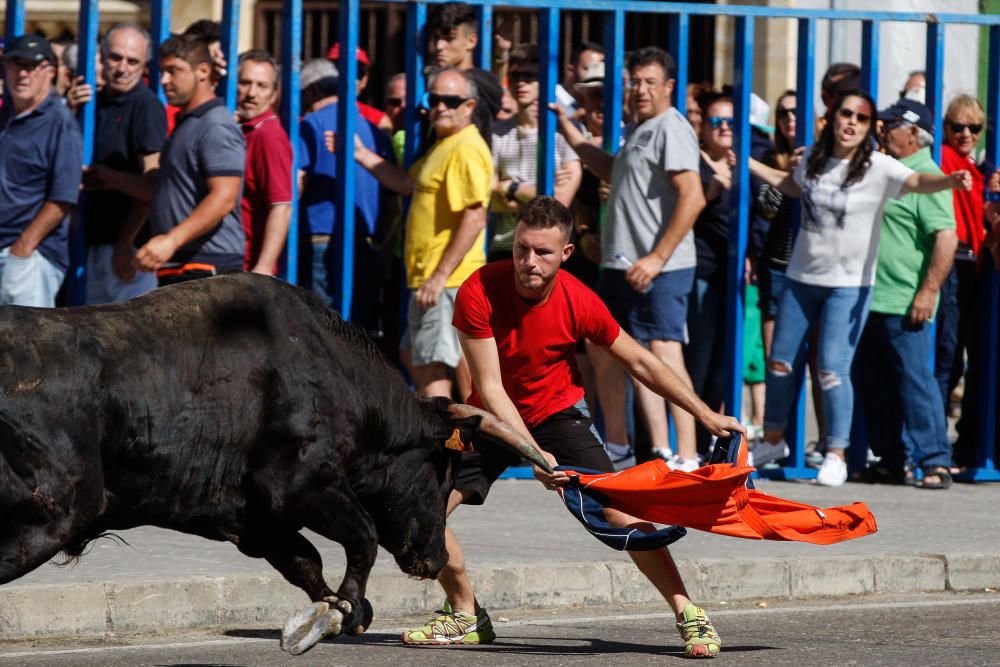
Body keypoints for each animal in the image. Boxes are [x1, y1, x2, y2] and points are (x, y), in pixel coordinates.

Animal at [0, 274, 548, 656]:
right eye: (442, 471)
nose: (434, 557)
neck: (337, 373)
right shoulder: (300, 485)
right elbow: (363, 537)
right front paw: (344, 612)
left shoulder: (254, 520)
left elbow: (306, 562)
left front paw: (332, 614)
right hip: (55, 511)